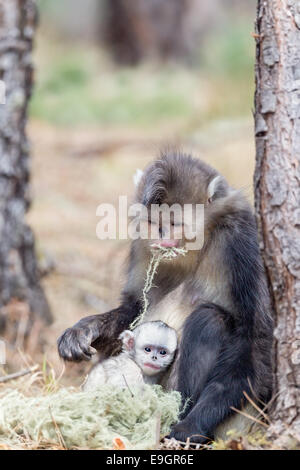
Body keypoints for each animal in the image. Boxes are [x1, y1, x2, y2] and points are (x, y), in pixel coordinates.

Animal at [57, 152, 274, 442]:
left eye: (174, 224)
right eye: (154, 223)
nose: (163, 239)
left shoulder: (243, 239)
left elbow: (256, 339)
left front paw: (190, 426)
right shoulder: (142, 243)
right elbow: (135, 306)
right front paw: (83, 329)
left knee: (210, 320)